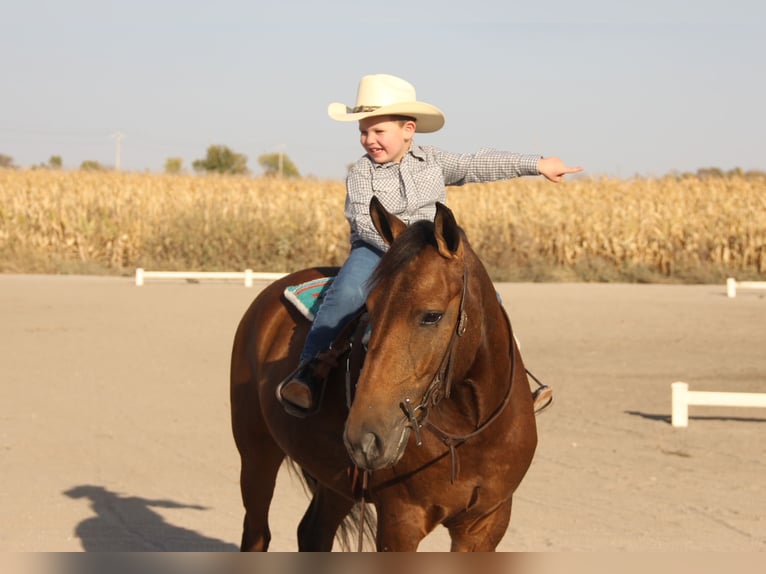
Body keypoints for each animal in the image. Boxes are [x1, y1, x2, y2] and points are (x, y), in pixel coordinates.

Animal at [231, 199, 536, 552]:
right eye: (371, 308)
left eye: (432, 316)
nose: (363, 437)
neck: (471, 431)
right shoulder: (400, 522)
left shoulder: (485, 525)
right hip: (256, 452)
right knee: (257, 532)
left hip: (337, 481)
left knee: (313, 532)